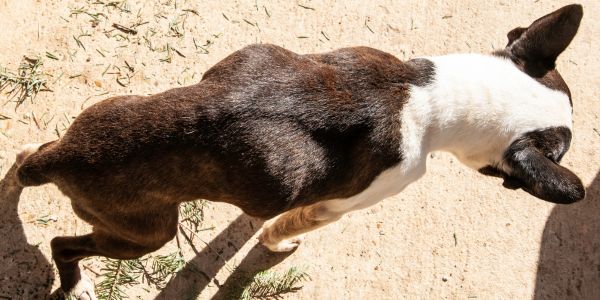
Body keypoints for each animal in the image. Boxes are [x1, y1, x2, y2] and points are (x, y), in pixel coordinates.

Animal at [15, 3, 584, 298]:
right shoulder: (338, 205)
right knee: (64, 244)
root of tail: (63, 158)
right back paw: (74, 283)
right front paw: (277, 242)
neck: (429, 95)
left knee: (27, 159)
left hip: (106, 113)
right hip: (146, 235)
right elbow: (284, 227)